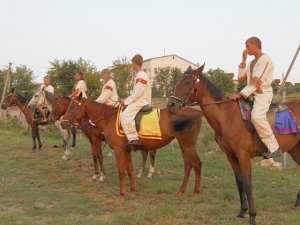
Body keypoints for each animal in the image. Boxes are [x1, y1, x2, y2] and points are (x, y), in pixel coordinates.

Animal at [60, 95, 202, 200]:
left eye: (73, 106)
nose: (62, 122)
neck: (108, 118)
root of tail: (198, 112)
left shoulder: (117, 149)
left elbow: (121, 171)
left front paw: (122, 193)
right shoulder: (126, 150)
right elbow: (129, 170)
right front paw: (132, 190)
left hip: (187, 145)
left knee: (196, 164)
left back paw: (195, 192)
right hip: (184, 145)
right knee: (189, 165)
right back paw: (182, 191)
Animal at [168, 64, 300, 225]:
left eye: (187, 82)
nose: (171, 105)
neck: (227, 116)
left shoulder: (243, 156)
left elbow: (248, 183)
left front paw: (252, 216)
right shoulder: (231, 156)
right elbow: (239, 181)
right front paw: (242, 211)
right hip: (295, 149)